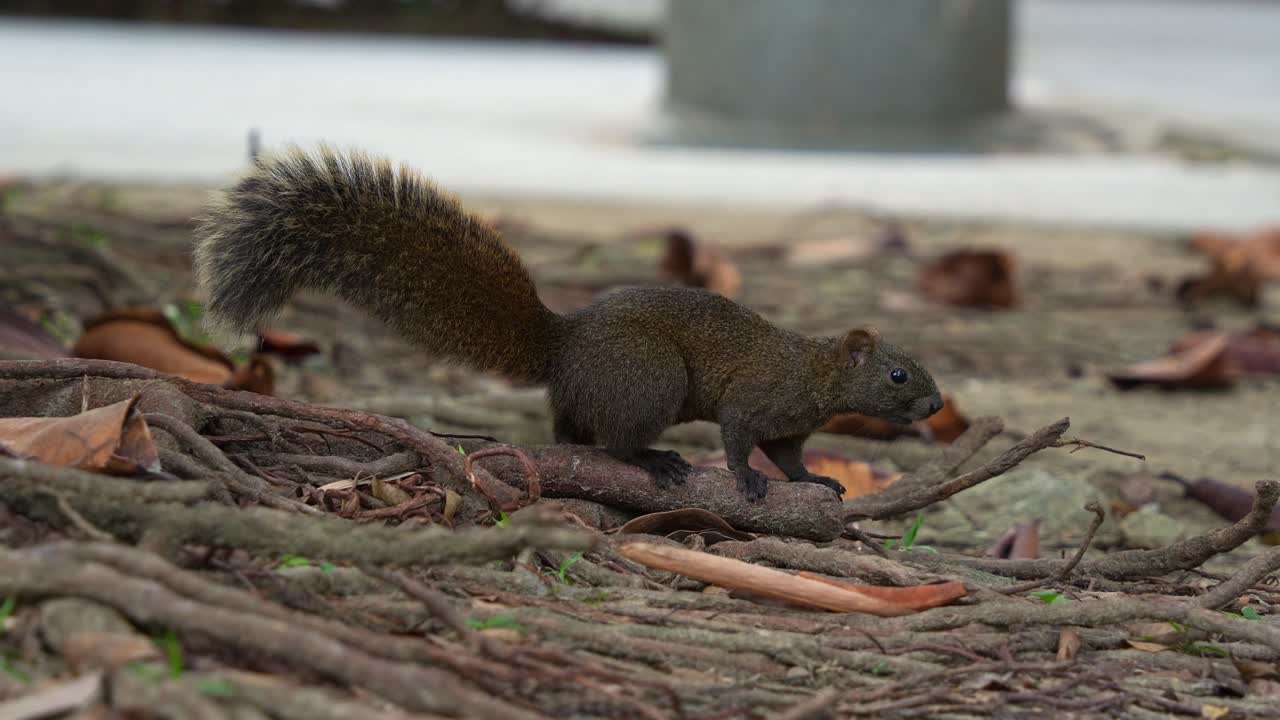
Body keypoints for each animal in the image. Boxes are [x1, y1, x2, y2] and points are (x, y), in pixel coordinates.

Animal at [193, 146, 943, 502]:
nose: (937, 406)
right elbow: (738, 438)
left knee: (570, 431)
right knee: (615, 443)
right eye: (898, 374)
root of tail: (563, 347)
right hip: (651, 380)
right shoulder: (756, 399)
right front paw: (749, 481)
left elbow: (791, 457)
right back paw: (654, 459)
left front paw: (815, 482)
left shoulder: (791, 425)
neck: (813, 372)